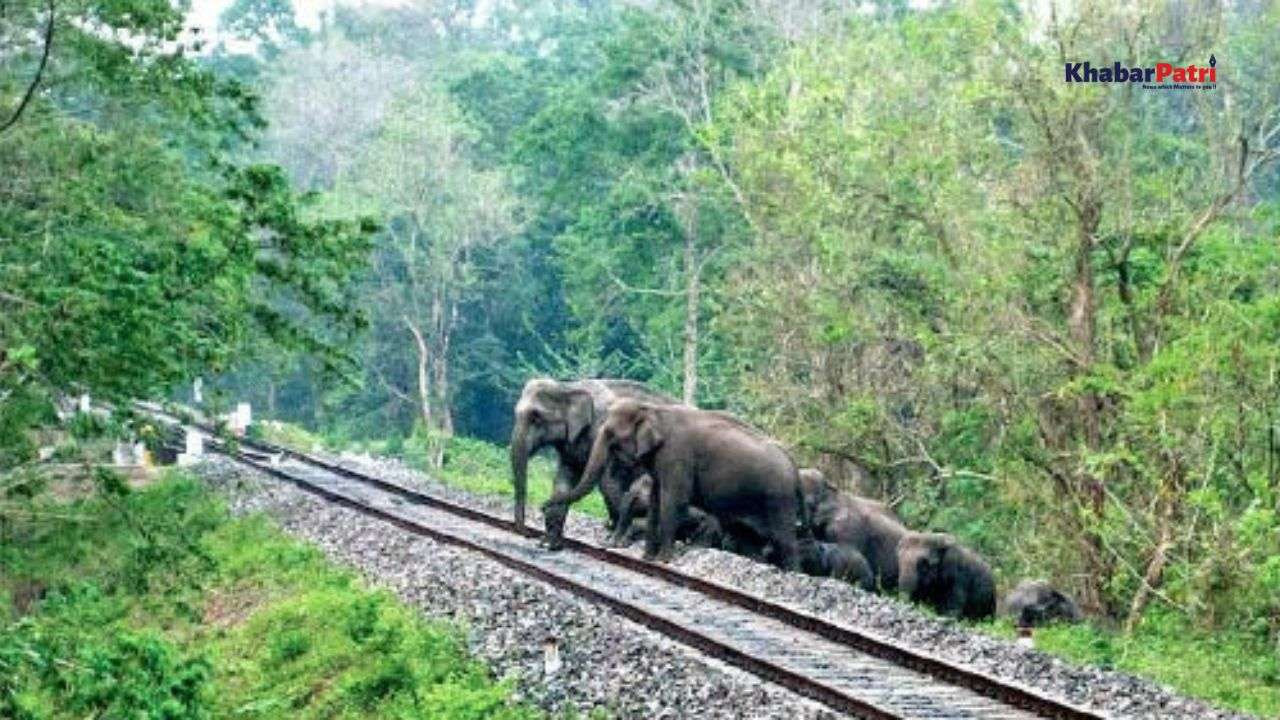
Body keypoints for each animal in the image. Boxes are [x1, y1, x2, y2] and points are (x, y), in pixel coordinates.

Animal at [509, 378, 677, 538]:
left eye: (536, 416)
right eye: (515, 412)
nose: (528, 533)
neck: (567, 386)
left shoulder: (603, 432)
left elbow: (608, 483)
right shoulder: (571, 447)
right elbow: (564, 478)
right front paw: (549, 540)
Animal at [543, 400, 801, 569]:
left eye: (611, 434)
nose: (543, 505)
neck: (652, 410)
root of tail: (794, 466)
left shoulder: (676, 455)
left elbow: (672, 500)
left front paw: (663, 561)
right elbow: (657, 500)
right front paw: (646, 559)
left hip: (778, 500)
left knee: (785, 540)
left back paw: (791, 573)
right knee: (751, 539)